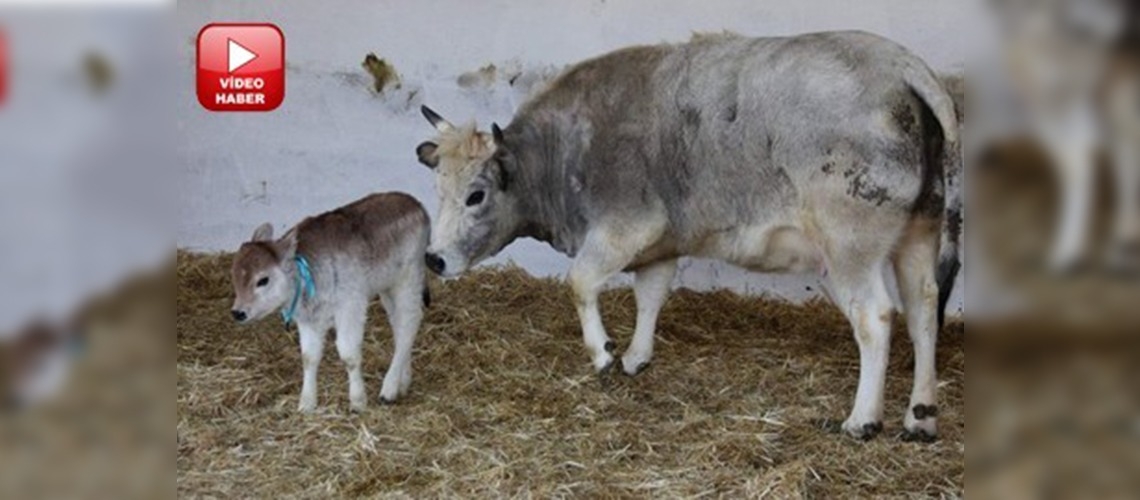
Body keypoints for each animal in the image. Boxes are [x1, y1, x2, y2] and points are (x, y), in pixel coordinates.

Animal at [414, 30, 957, 441]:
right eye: (438, 189)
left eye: (476, 195)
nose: (434, 259)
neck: (568, 148)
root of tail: (898, 62)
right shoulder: (661, 242)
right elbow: (650, 297)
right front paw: (636, 357)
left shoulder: (624, 225)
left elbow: (581, 282)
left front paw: (603, 353)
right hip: (918, 232)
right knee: (923, 310)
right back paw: (920, 416)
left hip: (849, 249)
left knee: (876, 317)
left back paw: (862, 420)